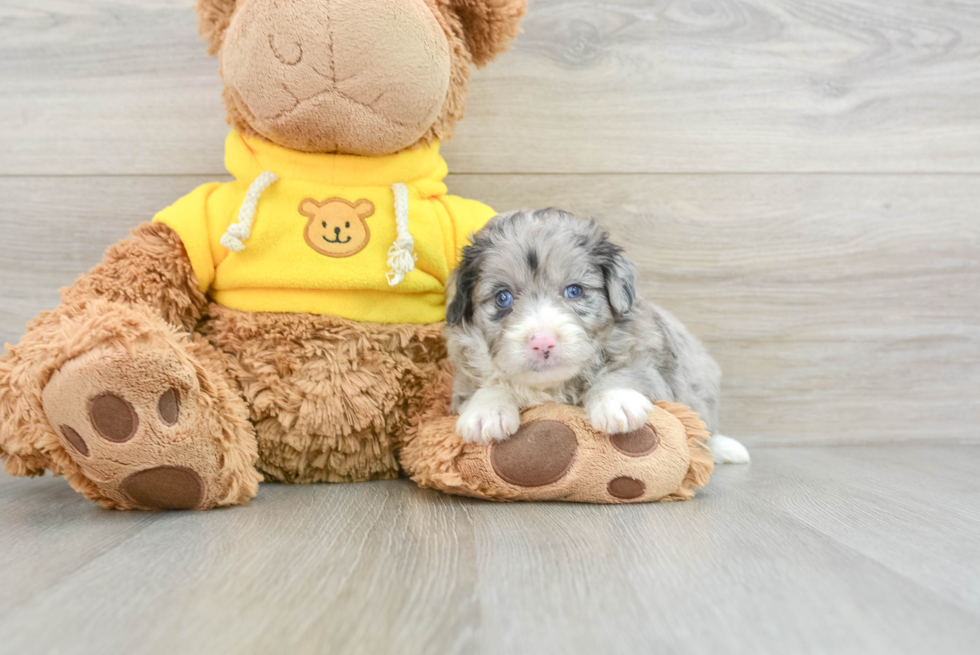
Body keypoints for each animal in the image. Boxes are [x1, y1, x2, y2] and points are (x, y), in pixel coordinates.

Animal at [446, 210, 752, 466]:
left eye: (574, 291)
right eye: (503, 298)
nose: (542, 342)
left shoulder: (650, 361)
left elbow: (623, 372)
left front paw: (615, 401)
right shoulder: (464, 376)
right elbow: (489, 383)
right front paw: (486, 411)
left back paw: (726, 448)